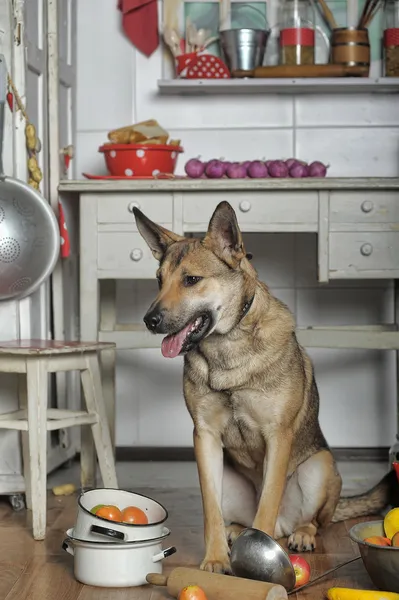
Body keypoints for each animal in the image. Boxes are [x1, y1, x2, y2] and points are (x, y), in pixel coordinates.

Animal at [135, 200, 399, 572]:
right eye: (159, 281)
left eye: (191, 280)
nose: (150, 321)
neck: (229, 345)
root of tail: (284, 527)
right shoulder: (204, 438)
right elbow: (210, 511)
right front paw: (216, 558)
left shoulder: (279, 435)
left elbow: (268, 502)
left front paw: (258, 558)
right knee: (239, 518)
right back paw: (235, 531)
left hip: (320, 467)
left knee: (314, 520)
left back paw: (300, 534)